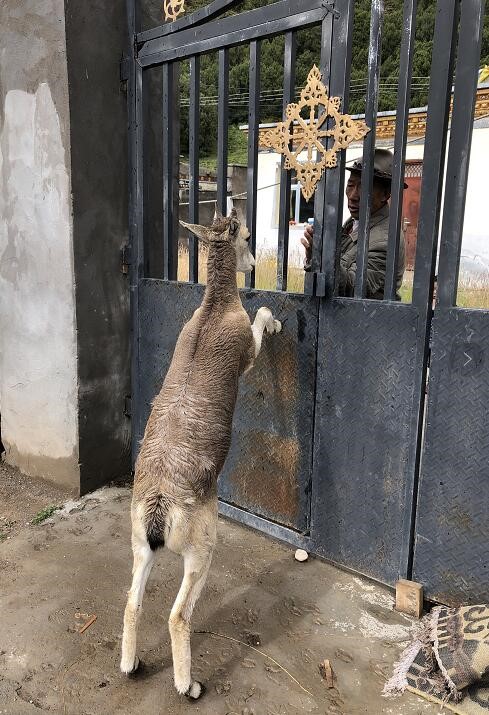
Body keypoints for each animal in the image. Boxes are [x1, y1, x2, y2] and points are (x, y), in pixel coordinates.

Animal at [119, 206, 282, 700]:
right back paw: (189, 686)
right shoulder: (247, 351)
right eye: (246, 235)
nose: (254, 262)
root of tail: (158, 512)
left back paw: (131, 664)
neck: (214, 309)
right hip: (201, 550)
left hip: (140, 546)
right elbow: (259, 322)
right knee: (178, 615)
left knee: (131, 604)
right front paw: (275, 321)